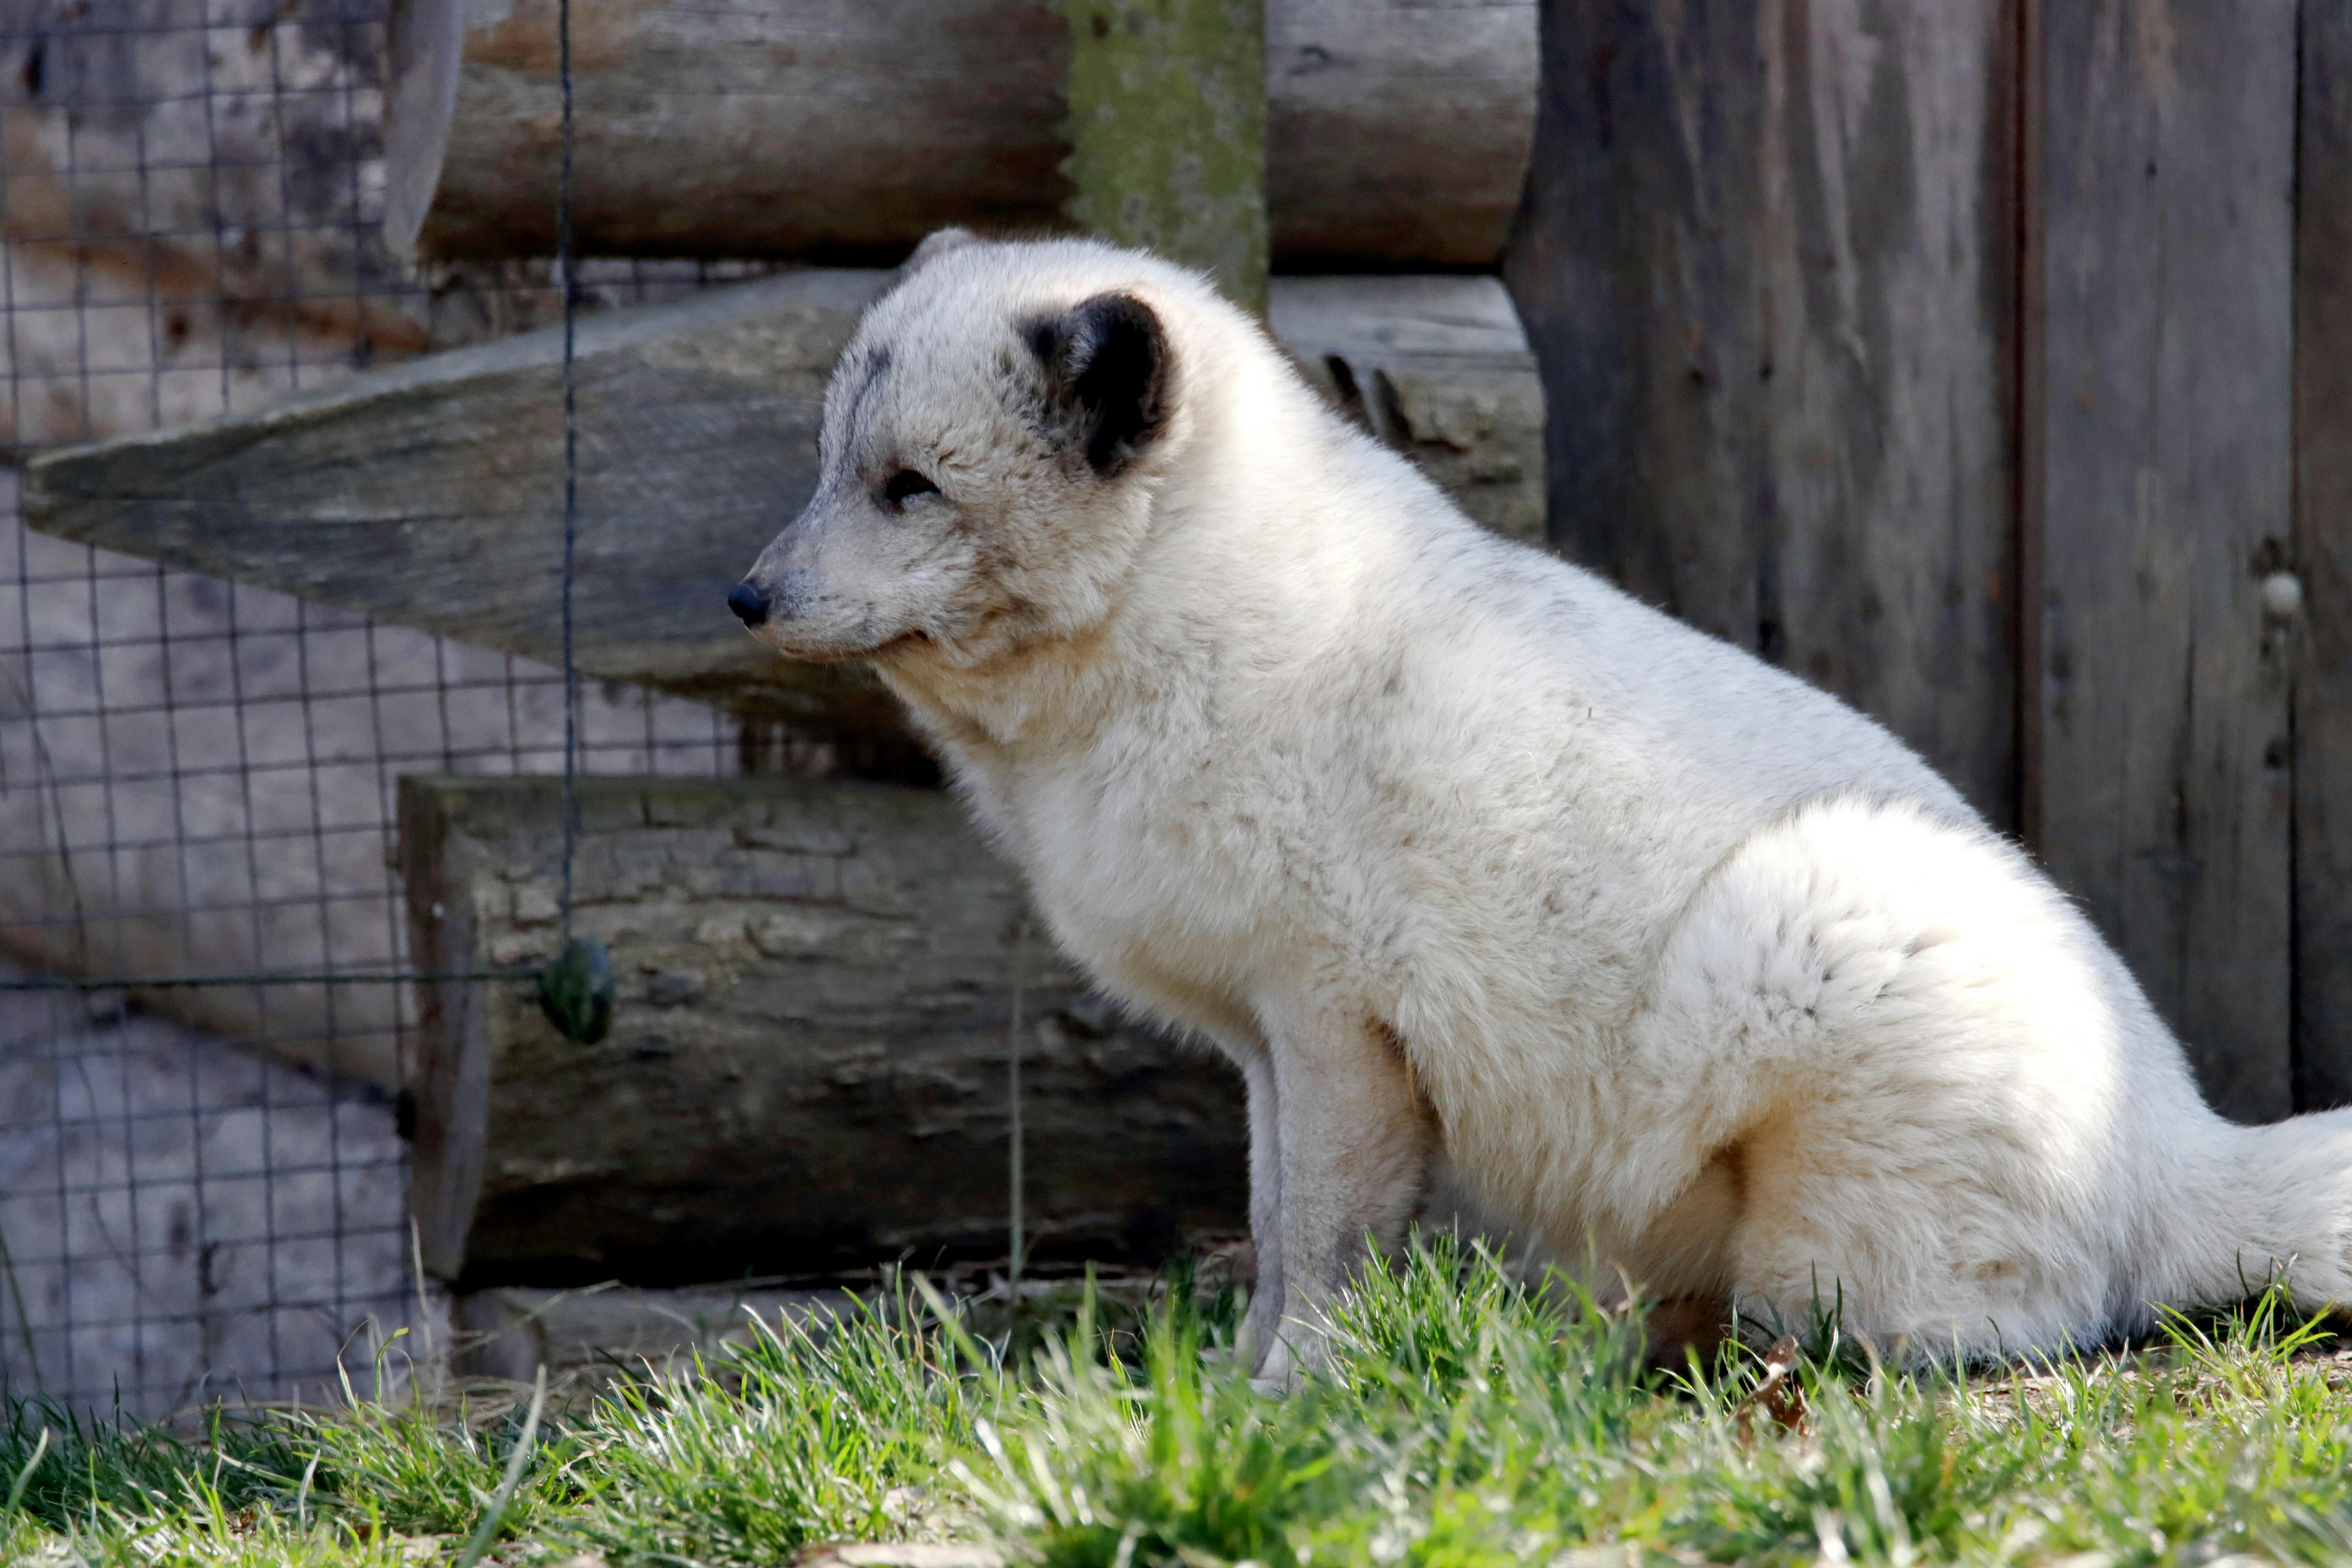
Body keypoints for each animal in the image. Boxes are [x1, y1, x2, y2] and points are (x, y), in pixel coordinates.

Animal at [730, 228, 2352, 1378]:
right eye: (830, 468)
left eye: (911, 488)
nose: (745, 597)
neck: (1179, 620)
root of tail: (2180, 1144)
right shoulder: (1266, 1046)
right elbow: (1269, 1224)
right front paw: (1229, 1390)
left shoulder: (1339, 1028)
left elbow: (1325, 1242)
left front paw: (1294, 1403)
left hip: (1814, 942)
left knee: (1964, 1333)